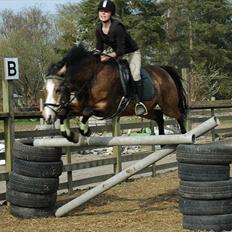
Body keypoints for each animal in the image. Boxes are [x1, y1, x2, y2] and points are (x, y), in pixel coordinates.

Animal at [43, 42, 188, 142]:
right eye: (45, 90)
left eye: (58, 90)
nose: (48, 117)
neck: (91, 77)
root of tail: (163, 70)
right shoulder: (79, 106)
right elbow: (64, 113)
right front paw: (70, 135)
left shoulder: (107, 108)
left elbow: (87, 111)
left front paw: (85, 131)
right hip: (146, 110)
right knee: (158, 116)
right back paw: (162, 142)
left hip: (168, 106)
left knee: (180, 116)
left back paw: (184, 136)